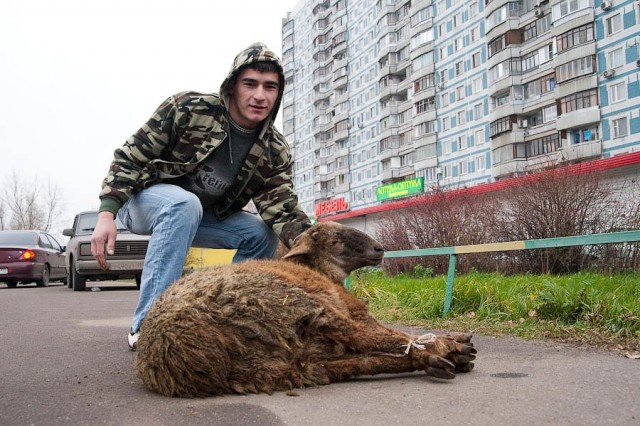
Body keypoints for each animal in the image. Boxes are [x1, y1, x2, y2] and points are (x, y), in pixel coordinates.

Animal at [135, 221, 476, 398]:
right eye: (335, 239)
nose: (379, 249)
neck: (318, 270)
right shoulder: (354, 310)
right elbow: (389, 332)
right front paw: (448, 340)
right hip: (305, 307)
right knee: (369, 341)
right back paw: (446, 349)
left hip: (296, 368)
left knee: (360, 363)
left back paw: (437, 360)